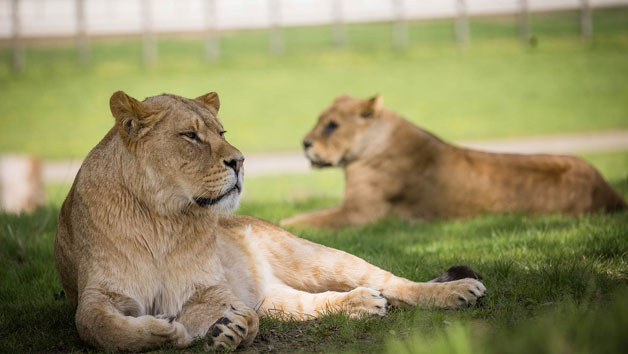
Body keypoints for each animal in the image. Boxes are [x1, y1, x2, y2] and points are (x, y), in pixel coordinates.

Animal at [54, 91, 486, 352]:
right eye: (191, 136)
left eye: (221, 132)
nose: (240, 161)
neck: (163, 217)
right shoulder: (98, 294)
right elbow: (99, 326)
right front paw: (163, 329)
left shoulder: (208, 292)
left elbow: (243, 317)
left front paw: (230, 329)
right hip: (280, 298)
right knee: (322, 301)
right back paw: (362, 304)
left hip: (316, 257)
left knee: (396, 283)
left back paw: (459, 291)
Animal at [280, 94, 628, 228]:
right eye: (319, 120)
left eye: (332, 125)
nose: (304, 143)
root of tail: (610, 191)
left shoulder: (359, 214)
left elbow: (307, 220)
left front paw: (285, 225)